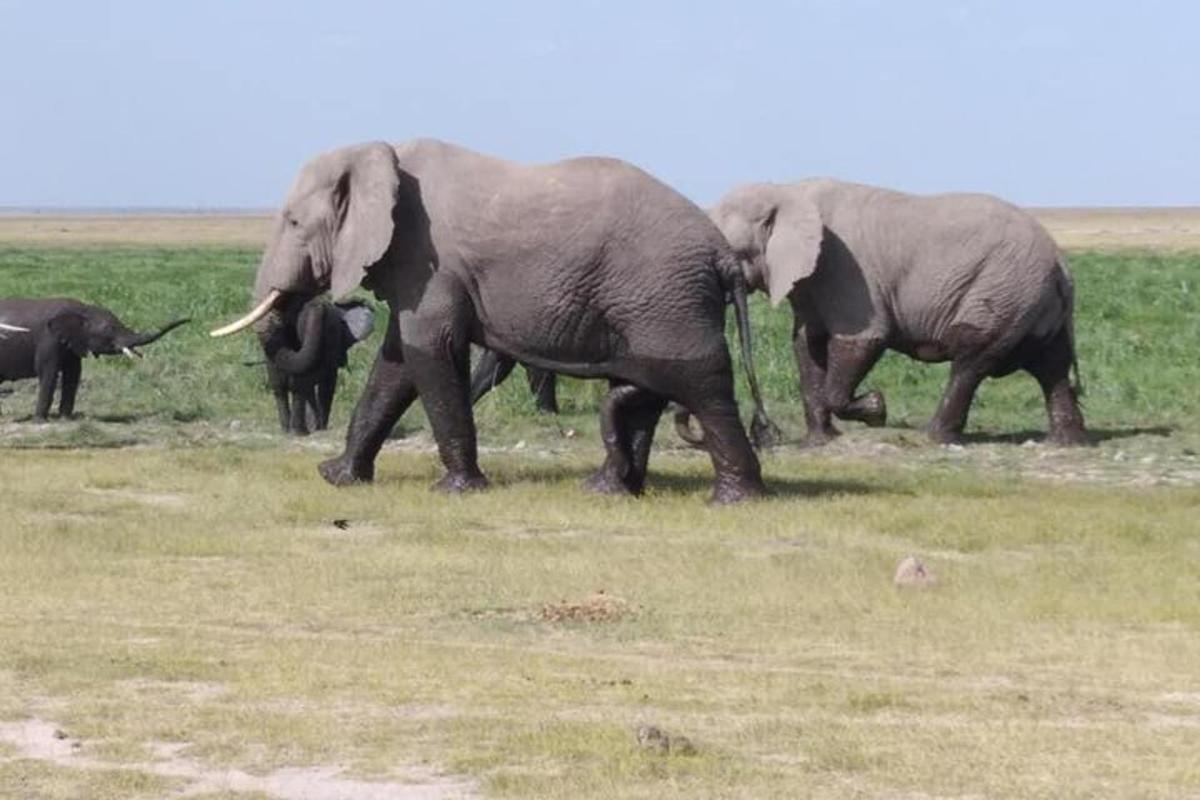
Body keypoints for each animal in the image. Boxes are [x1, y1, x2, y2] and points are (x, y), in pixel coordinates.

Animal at [0, 293, 189, 419]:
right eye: (108, 329)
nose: (190, 319)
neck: (84, 309)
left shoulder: (73, 343)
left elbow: (73, 375)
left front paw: (65, 419)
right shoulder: (48, 340)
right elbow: (49, 373)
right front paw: (40, 420)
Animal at [258, 293, 374, 434]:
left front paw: (315, 427)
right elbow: (326, 384)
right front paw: (319, 427)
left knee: (281, 386)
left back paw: (289, 431)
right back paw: (299, 431)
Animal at [705, 177, 1094, 448]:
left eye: (733, 252)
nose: (765, 434)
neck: (787, 191)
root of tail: (1061, 263)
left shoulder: (843, 268)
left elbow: (862, 339)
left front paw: (877, 409)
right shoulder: (809, 281)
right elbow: (807, 345)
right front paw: (821, 441)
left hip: (1003, 290)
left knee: (972, 361)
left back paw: (934, 438)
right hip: (1032, 298)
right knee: (1051, 365)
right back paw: (1065, 442)